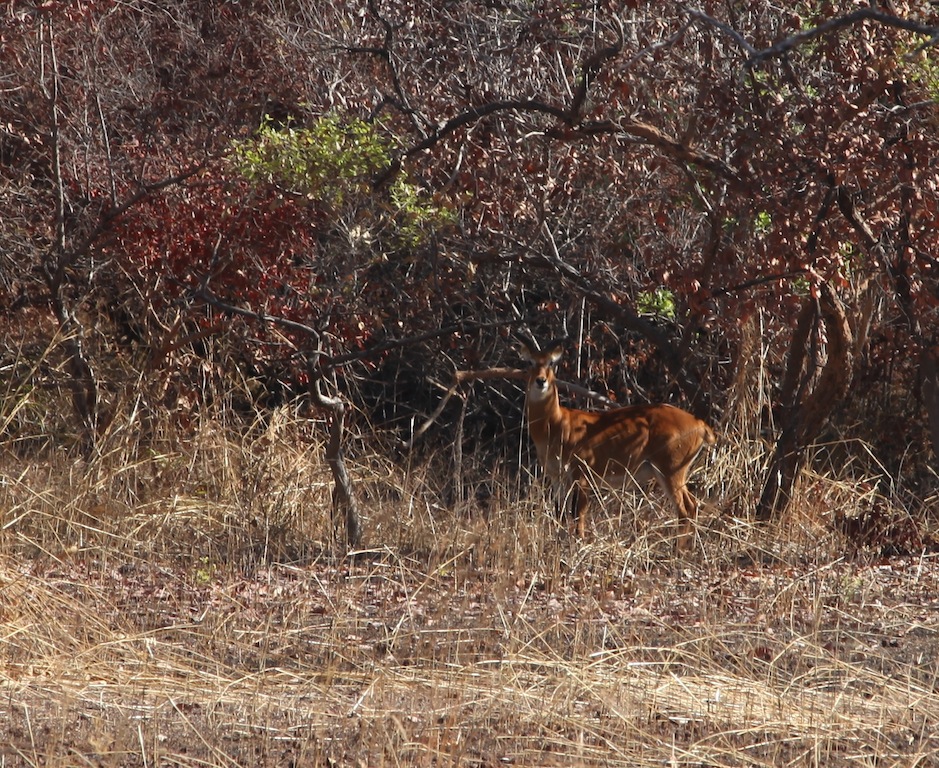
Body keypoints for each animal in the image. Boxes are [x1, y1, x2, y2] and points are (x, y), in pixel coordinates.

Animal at [520, 340, 720, 548]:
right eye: (530, 362)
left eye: (551, 362)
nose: (541, 381)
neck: (557, 424)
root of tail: (700, 424)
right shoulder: (556, 476)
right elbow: (560, 513)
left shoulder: (582, 475)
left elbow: (578, 514)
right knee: (692, 505)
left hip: (671, 471)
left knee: (685, 509)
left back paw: (678, 551)